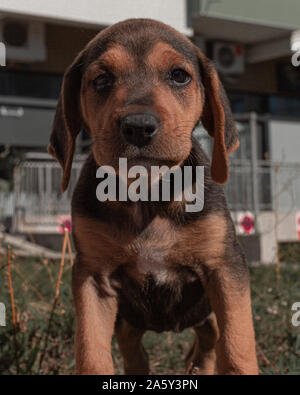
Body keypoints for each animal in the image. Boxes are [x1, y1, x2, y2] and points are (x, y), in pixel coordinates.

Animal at [48, 18, 258, 376]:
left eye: (179, 75)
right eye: (101, 79)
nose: (138, 126)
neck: (147, 192)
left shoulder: (225, 268)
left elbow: (237, 348)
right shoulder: (93, 278)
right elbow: (91, 352)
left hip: (207, 312)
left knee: (211, 342)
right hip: (127, 321)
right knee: (136, 351)